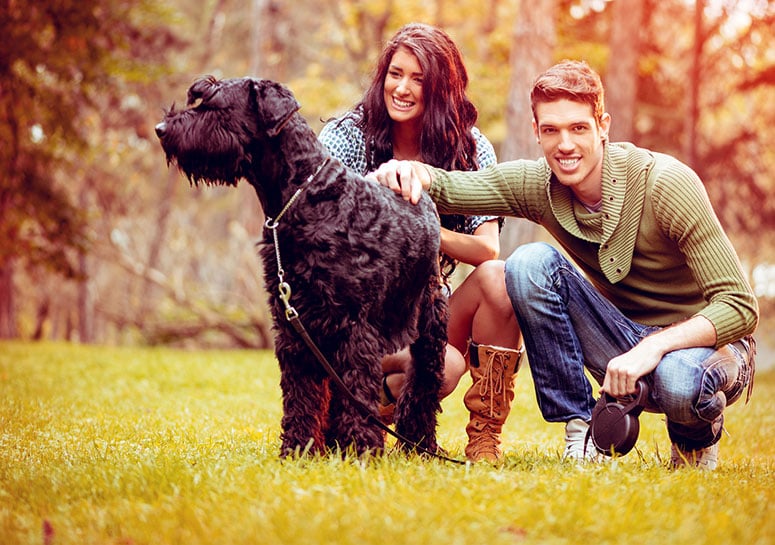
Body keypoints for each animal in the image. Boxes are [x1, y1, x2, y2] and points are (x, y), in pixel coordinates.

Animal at [156, 76, 448, 454]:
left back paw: (419, 445)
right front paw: (299, 450)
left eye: (215, 106)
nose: (161, 129)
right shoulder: (294, 324)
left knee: (424, 384)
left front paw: (361, 452)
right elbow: (302, 395)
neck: (307, 196)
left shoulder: (354, 329)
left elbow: (355, 391)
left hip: (429, 324)